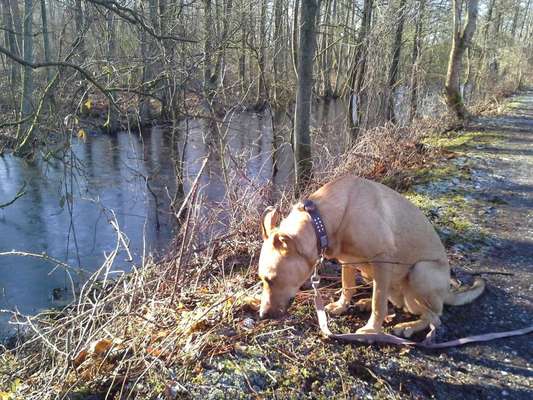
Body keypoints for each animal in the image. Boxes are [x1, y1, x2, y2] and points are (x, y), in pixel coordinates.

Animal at [256, 177, 484, 336]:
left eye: (271, 279)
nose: (262, 315)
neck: (321, 221)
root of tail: (447, 292)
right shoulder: (348, 261)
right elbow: (348, 286)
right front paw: (341, 306)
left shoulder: (382, 259)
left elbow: (379, 303)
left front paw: (372, 330)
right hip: (374, 274)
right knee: (398, 302)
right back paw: (366, 302)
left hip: (420, 271)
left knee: (434, 317)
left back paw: (409, 326)